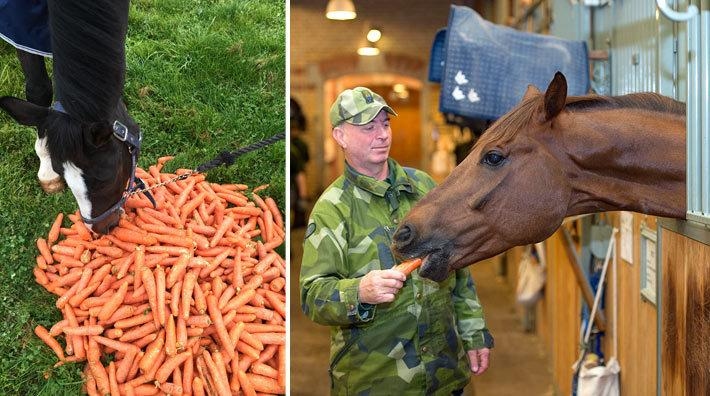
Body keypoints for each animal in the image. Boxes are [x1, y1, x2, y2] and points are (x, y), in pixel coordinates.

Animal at [0, 0, 142, 234]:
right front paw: (46, 169)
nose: (102, 228)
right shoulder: (23, 27)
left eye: (107, 179)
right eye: (61, 173)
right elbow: (39, 91)